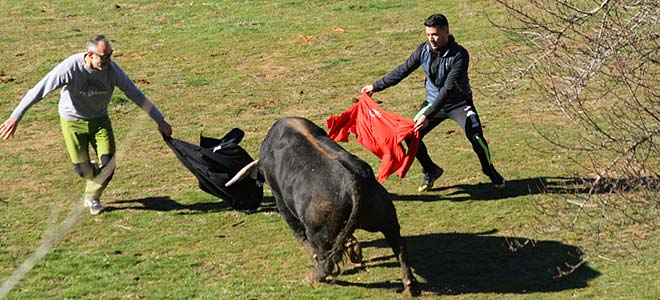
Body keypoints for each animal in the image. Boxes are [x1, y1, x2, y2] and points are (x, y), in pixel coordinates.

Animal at [227, 117, 420, 296]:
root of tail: (353, 181)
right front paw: (354, 248)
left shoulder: (282, 202)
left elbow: (300, 235)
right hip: (386, 218)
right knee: (399, 246)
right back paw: (409, 283)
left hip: (319, 232)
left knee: (326, 260)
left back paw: (314, 277)